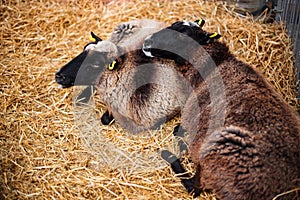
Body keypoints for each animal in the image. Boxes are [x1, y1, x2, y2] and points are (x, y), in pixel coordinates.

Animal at [142, 19, 300, 198]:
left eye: (182, 36)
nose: (146, 42)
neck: (214, 63)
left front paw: (178, 134)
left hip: (213, 158)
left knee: (194, 188)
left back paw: (169, 155)